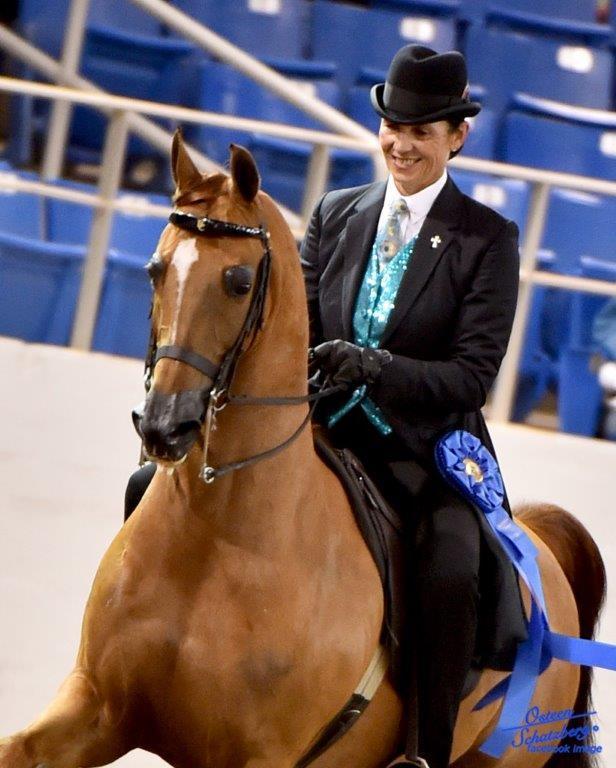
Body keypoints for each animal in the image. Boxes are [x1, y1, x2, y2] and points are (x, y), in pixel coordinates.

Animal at [0, 132, 606, 768]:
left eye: (240, 281)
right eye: (155, 269)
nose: (164, 426)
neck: (220, 533)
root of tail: (543, 550)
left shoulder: (261, 755)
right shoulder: (95, 707)